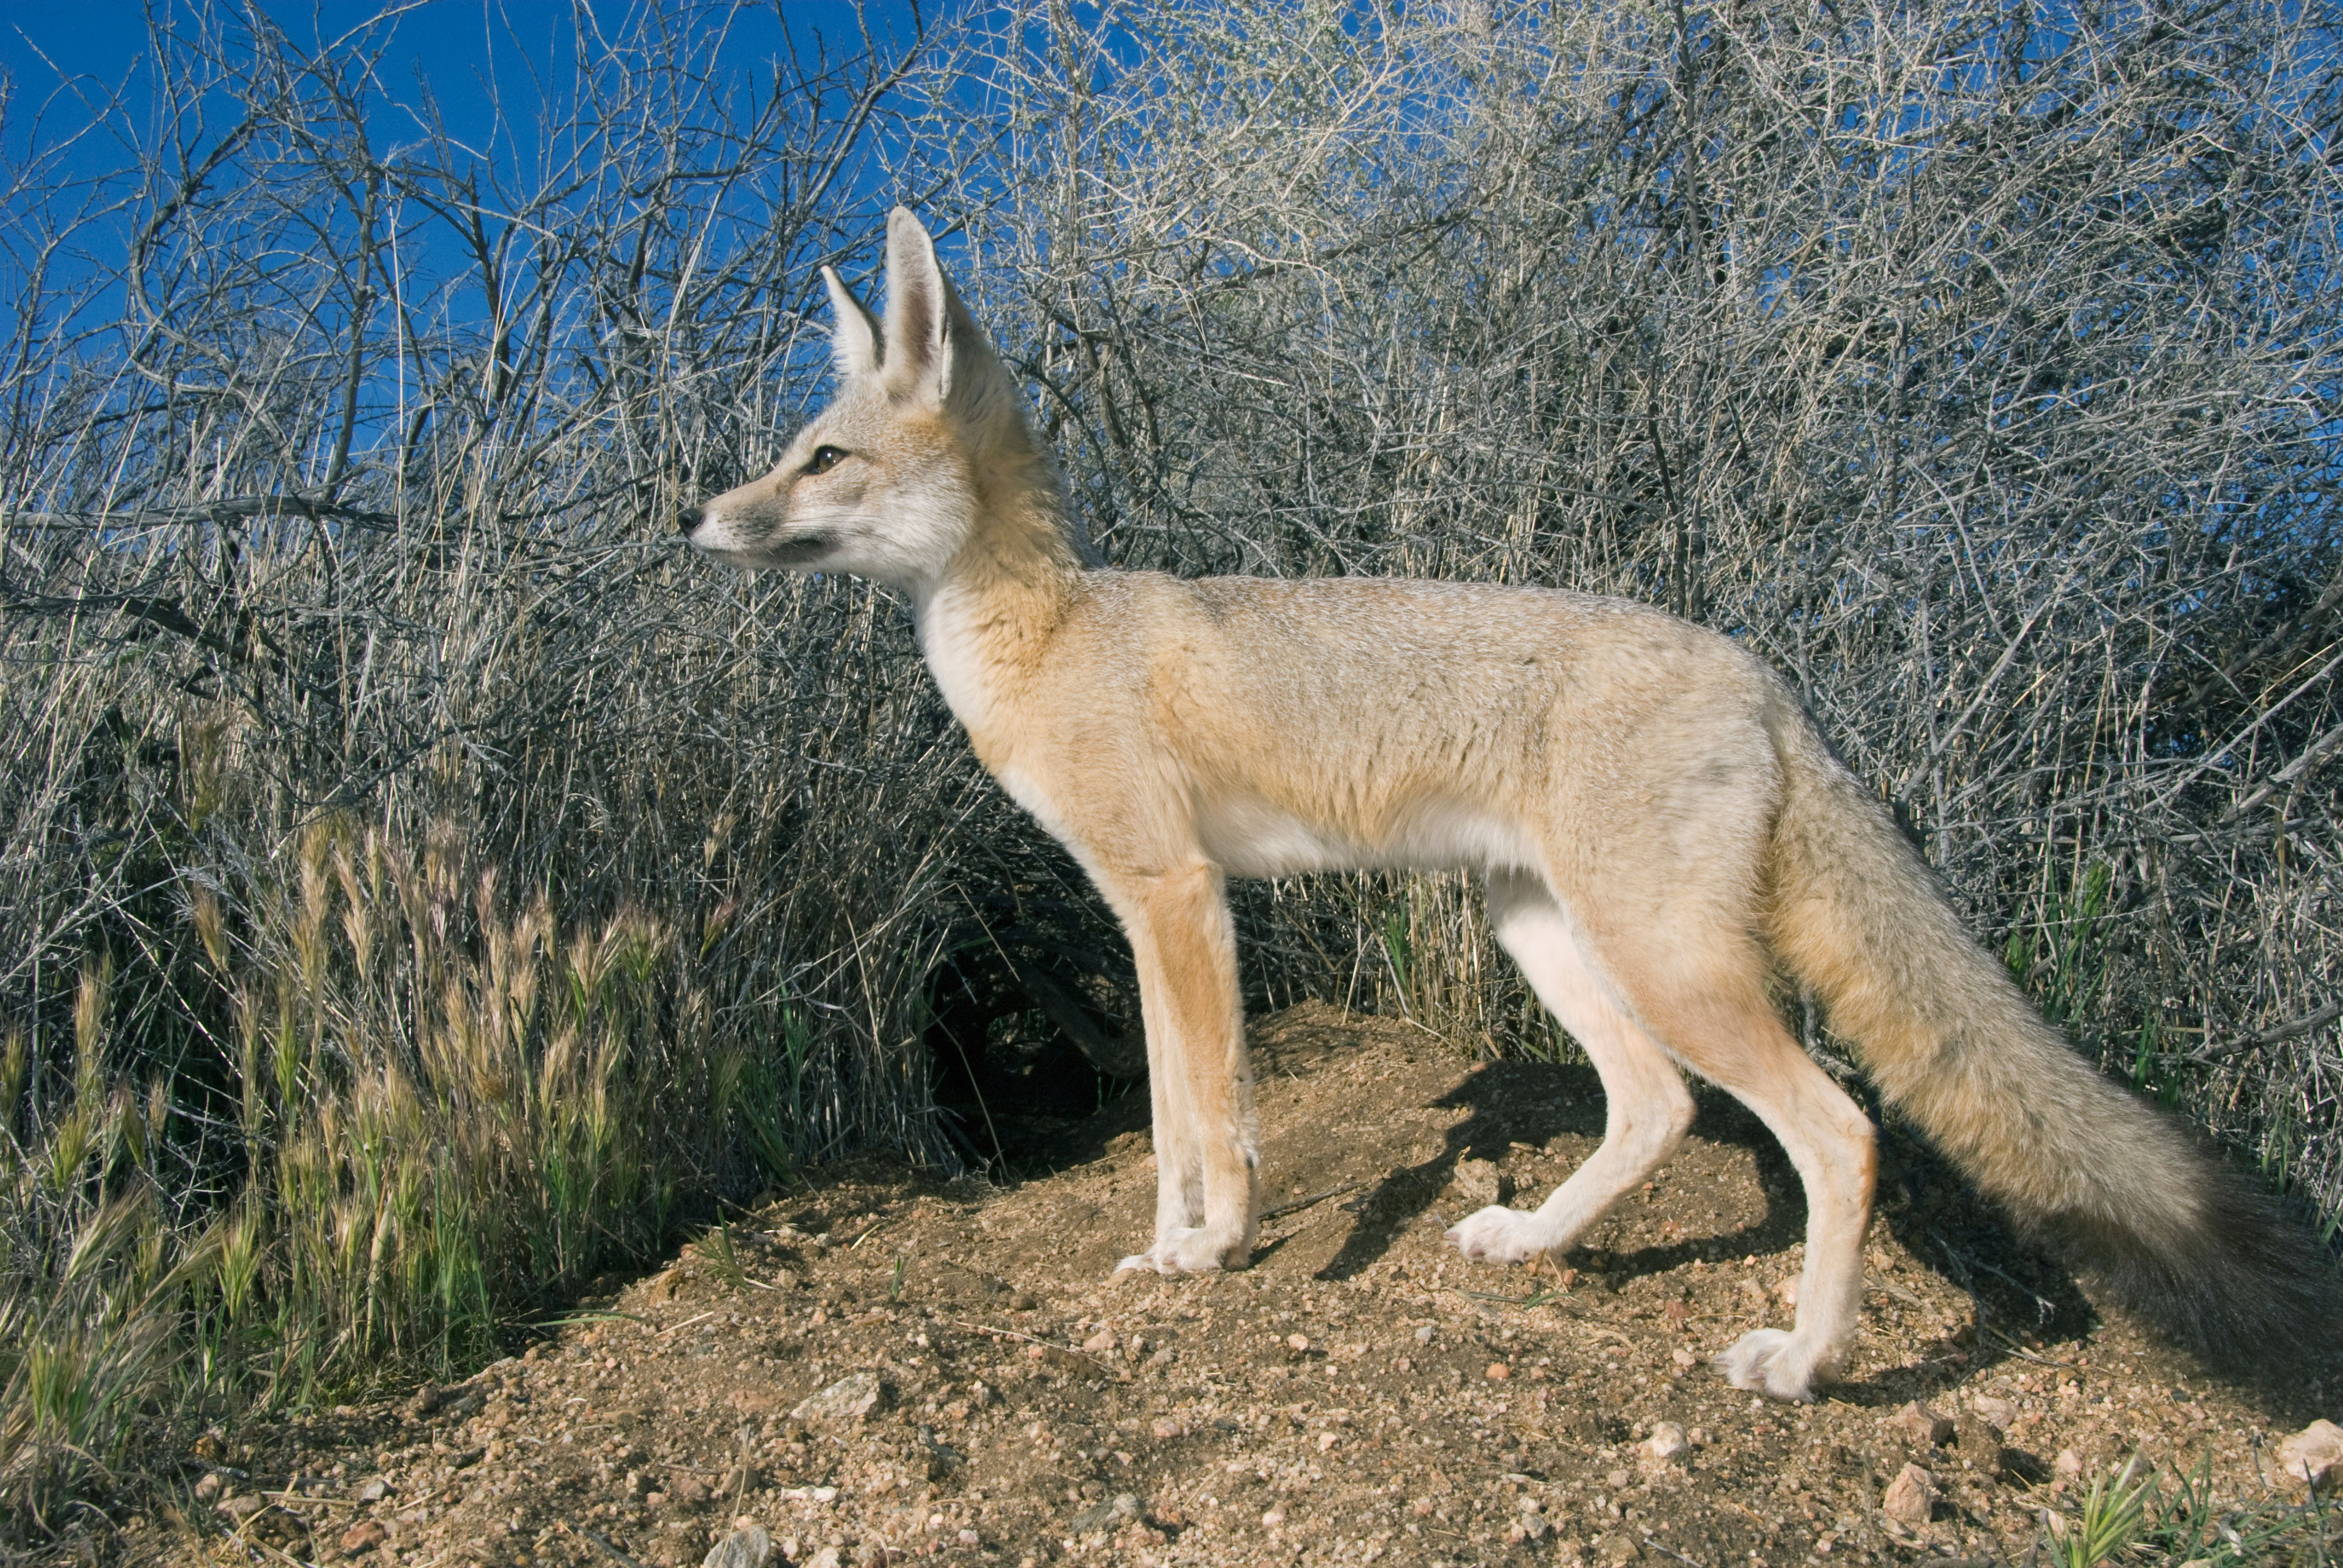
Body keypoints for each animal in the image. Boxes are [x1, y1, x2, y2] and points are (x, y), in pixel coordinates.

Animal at [679, 205, 2324, 1397]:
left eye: (820, 457)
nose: (696, 516)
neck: (1051, 635)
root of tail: (1760, 670)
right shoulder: (1140, 913)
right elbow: (1163, 1123)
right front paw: (1166, 1253)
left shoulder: (1182, 900)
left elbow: (1216, 1118)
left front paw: (1219, 1253)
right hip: (1543, 929)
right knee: (1659, 1107)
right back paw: (1534, 1239)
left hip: (1667, 958)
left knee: (1840, 1131)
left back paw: (1803, 1360)